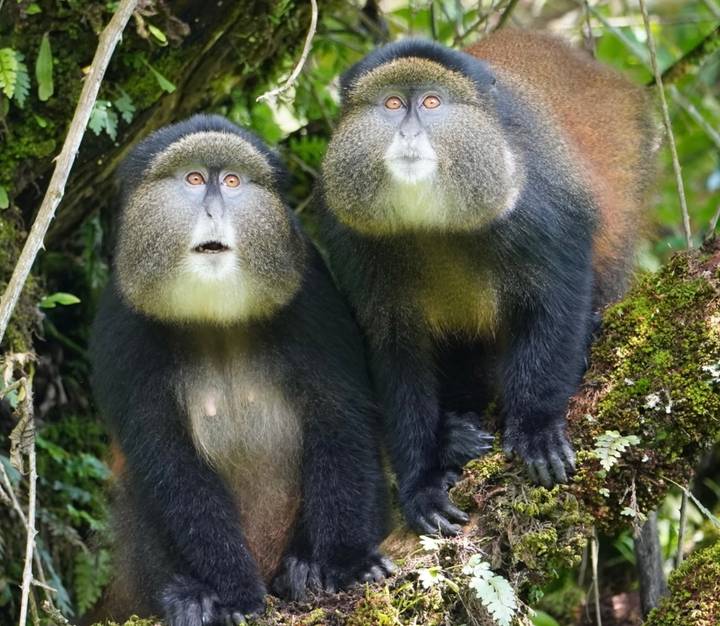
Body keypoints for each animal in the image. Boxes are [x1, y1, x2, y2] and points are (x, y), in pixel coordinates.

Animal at [89, 114, 393, 626]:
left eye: (231, 182)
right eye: (194, 179)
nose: (214, 210)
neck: (215, 317)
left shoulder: (311, 289)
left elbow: (340, 417)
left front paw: (347, 563)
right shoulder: (122, 326)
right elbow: (168, 460)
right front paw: (233, 594)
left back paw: (300, 569)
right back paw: (186, 595)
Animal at [315, 31, 656, 536]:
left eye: (431, 102)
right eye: (393, 103)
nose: (409, 132)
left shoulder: (537, 199)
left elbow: (557, 293)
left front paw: (536, 428)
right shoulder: (351, 239)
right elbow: (393, 350)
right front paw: (421, 484)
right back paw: (456, 437)